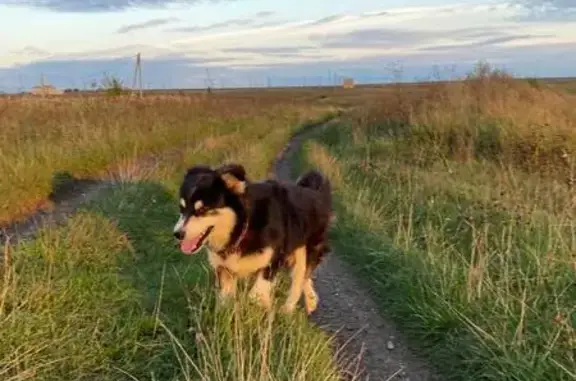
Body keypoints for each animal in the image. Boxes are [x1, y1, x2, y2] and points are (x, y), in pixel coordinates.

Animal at [172, 162, 332, 314]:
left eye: (203, 209)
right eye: (181, 209)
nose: (177, 234)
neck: (243, 226)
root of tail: (313, 191)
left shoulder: (271, 260)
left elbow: (255, 294)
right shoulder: (224, 269)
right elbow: (226, 300)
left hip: (305, 249)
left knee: (299, 279)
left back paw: (288, 309)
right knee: (305, 277)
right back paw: (311, 300)